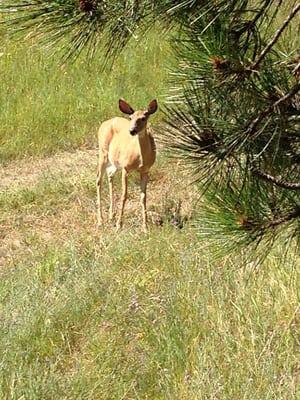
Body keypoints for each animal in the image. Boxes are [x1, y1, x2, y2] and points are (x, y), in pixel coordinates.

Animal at [96, 98, 158, 233]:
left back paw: (111, 215)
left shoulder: (145, 170)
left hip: (115, 161)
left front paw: (145, 227)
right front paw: (119, 225)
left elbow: (143, 197)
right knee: (98, 179)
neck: (140, 158)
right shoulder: (126, 168)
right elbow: (124, 195)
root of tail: (104, 123)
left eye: (143, 118)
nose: (132, 131)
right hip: (103, 152)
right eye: (130, 117)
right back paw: (100, 221)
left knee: (110, 174)